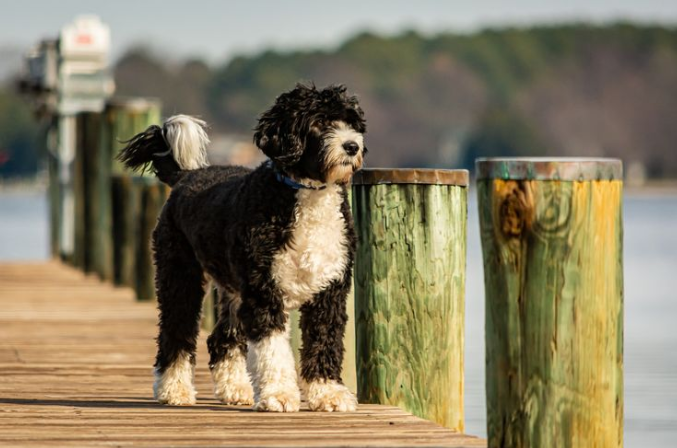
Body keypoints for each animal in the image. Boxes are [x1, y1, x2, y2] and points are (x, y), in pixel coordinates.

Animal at [119, 84, 368, 412]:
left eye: (352, 122)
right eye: (319, 122)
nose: (352, 146)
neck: (304, 193)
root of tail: (187, 176)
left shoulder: (329, 289)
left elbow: (324, 340)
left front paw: (327, 393)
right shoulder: (264, 291)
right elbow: (273, 349)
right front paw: (279, 394)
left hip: (233, 292)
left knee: (220, 339)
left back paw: (234, 389)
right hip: (180, 275)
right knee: (176, 331)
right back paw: (174, 389)